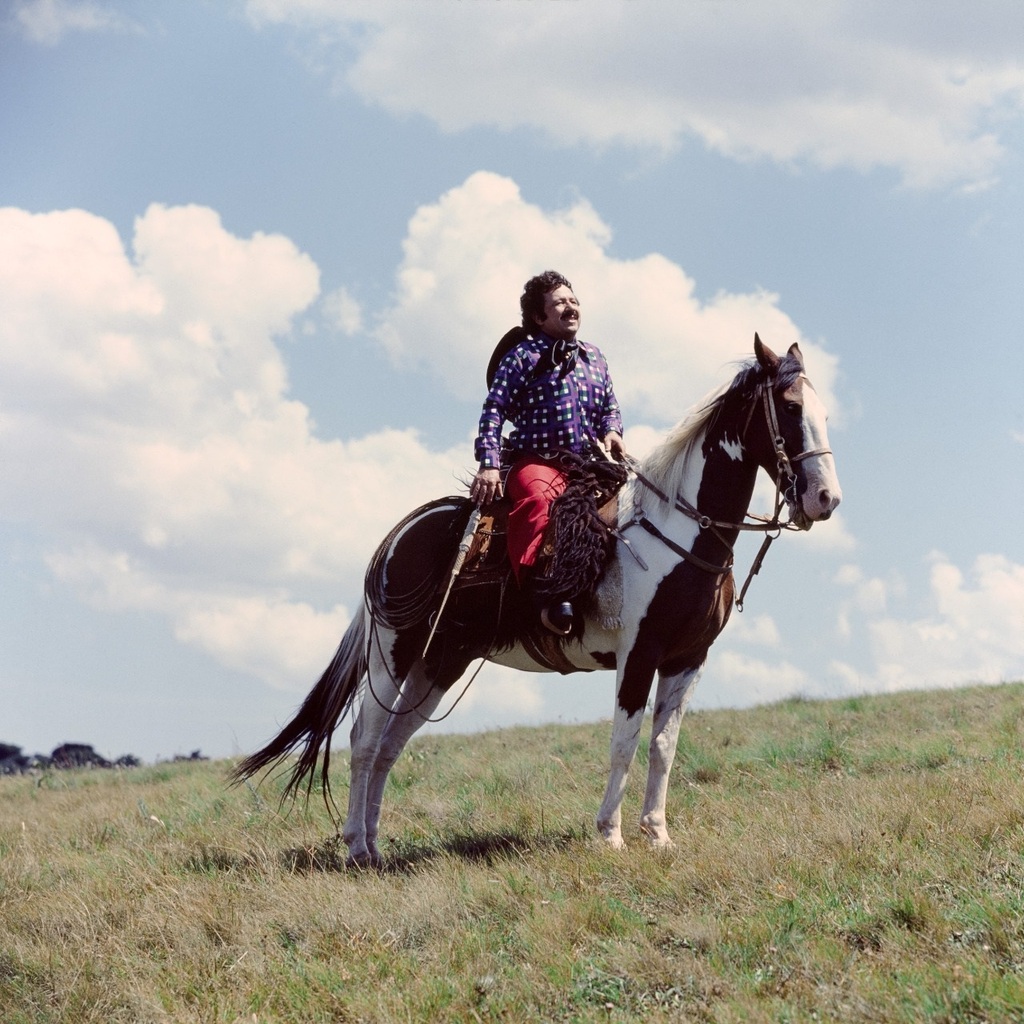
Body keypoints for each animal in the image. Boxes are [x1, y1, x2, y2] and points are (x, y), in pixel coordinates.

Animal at [235, 335, 843, 864]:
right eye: (790, 407)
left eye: (824, 411)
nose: (826, 499)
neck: (677, 529)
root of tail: (397, 536)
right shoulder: (638, 655)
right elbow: (624, 742)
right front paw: (610, 835)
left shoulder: (688, 660)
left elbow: (664, 747)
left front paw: (658, 835)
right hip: (395, 652)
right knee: (364, 739)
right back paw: (357, 849)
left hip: (439, 665)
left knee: (389, 745)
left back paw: (376, 846)